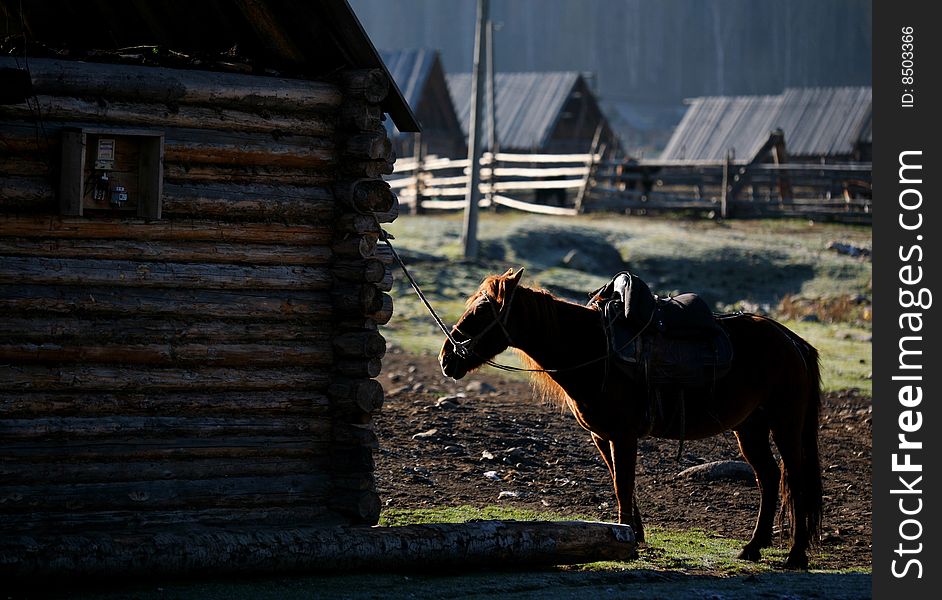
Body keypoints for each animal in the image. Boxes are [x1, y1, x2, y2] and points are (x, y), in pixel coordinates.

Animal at [438, 270, 824, 568]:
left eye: (483, 309)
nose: (446, 358)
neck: (593, 349)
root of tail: (792, 341)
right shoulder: (602, 436)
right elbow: (617, 482)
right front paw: (632, 535)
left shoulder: (623, 435)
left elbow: (623, 485)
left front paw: (626, 541)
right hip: (750, 428)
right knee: (769, 477)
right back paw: (753, 548)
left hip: (785, 424)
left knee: (795, 479)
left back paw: (796, 556)